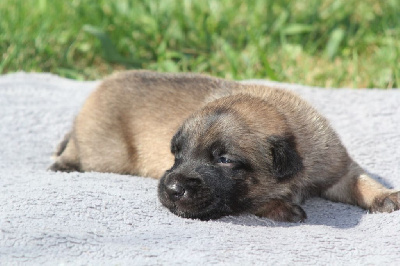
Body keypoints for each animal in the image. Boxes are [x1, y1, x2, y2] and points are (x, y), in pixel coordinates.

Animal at [48, 69, 398, 221]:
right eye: (176, 153)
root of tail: (102, 85)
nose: (172, 189)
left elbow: (360, 180)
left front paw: (384, 196)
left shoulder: (336, 167)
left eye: (225, 160)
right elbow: (253, 202)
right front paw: (280, 207)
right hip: (104, 153)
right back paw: (63, 162)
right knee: (78, 146)